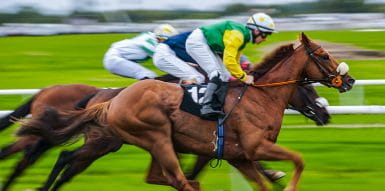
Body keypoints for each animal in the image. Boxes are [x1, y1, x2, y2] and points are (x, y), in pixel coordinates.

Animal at [20, 33, 354, 191]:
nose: (349, 80)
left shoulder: (238, 155)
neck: (260, 97)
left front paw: (275, 176)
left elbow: (264, 179)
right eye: (323, 55)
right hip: (148, 138)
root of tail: (110, 100)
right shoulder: (254, 146)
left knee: (168, 179)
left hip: (149, 143)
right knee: (180, 181)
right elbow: (297, 160)